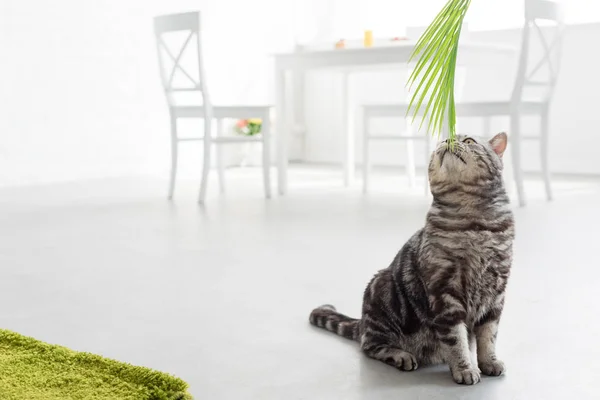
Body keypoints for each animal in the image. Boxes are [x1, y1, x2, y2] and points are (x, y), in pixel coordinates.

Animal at [312, 134, 512, 384]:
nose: (446, 140)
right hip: (379, 291)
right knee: (370, 345)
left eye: (468, 140)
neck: (474, 226)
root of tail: (363, 321)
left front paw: (489, 362)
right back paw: (401, 355)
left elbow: (488, 336)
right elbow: (456, 340)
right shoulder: (445, 293)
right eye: (441, 141)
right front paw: (465, 368)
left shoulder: (496, 291)